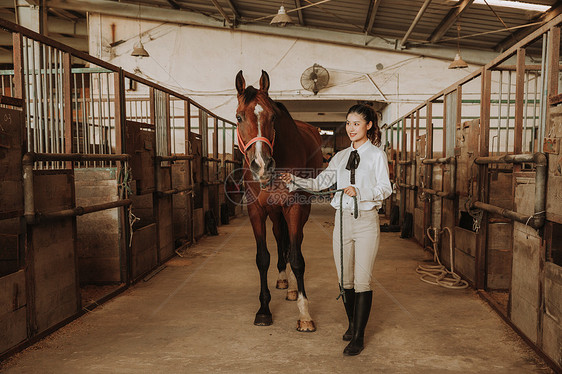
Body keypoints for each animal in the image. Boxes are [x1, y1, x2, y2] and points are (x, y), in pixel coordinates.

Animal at [234, 69, 322, 330]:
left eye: (273, 117)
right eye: (239, 117)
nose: (262, 165)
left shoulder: (294, 206)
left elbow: (297, 257)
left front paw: (304, 313)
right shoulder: (256, 210)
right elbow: (263, 257)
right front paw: (264, 310)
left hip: (301, 209)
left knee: (295, 241)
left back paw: (292, 287)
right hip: (274, 212)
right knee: (279, 237)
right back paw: (284, 280)